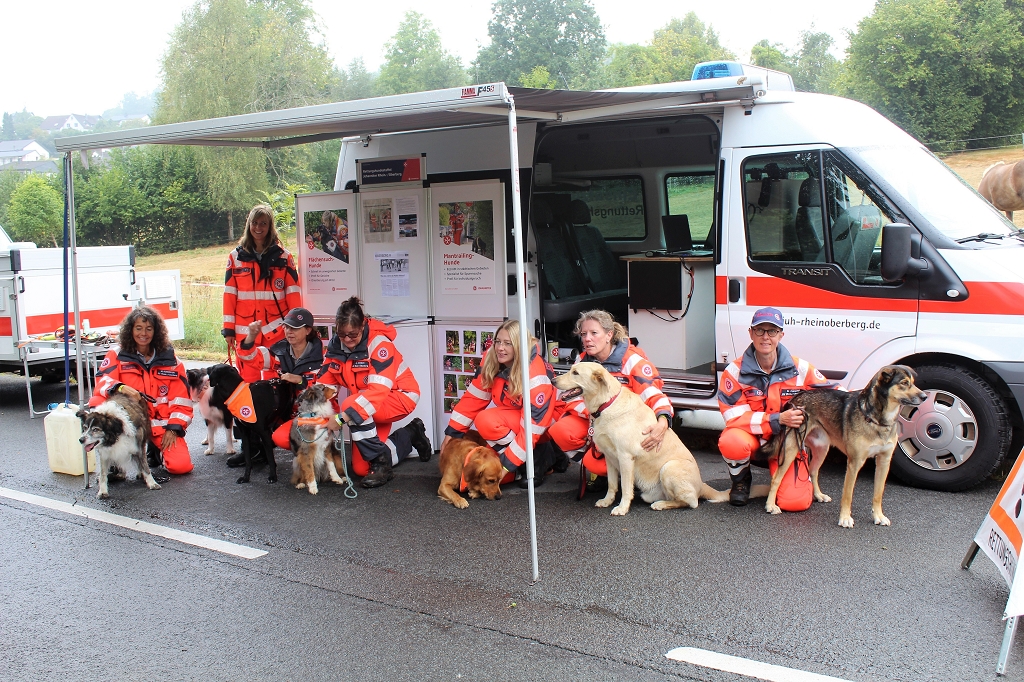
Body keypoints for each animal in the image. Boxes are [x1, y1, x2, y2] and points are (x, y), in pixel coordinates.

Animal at [554, 363, 753, 515]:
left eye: (575, 372)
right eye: (571, 369)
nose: (553, 380)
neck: (606, 404)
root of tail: (701, 485)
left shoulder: (625, 458)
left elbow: (625, 487)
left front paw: (622, 508)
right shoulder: (610, 457)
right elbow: (612, 484)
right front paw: (607, 500)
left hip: (669, 468)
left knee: (691, 502)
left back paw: (661, 505)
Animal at [761, 364, 927, 527]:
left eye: (913, 383)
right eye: (904, 383)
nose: (925, 397)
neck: (877, 420)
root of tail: (797, 397)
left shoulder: (884, 462)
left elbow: (878, 494)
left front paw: (878, 516)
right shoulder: (854, 463)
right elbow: (847, 495)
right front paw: (845, 518)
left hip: (822, 449)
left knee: (813, 471)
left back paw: (818, 495)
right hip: (791, 448)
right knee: (776, 478)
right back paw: (770, 505)